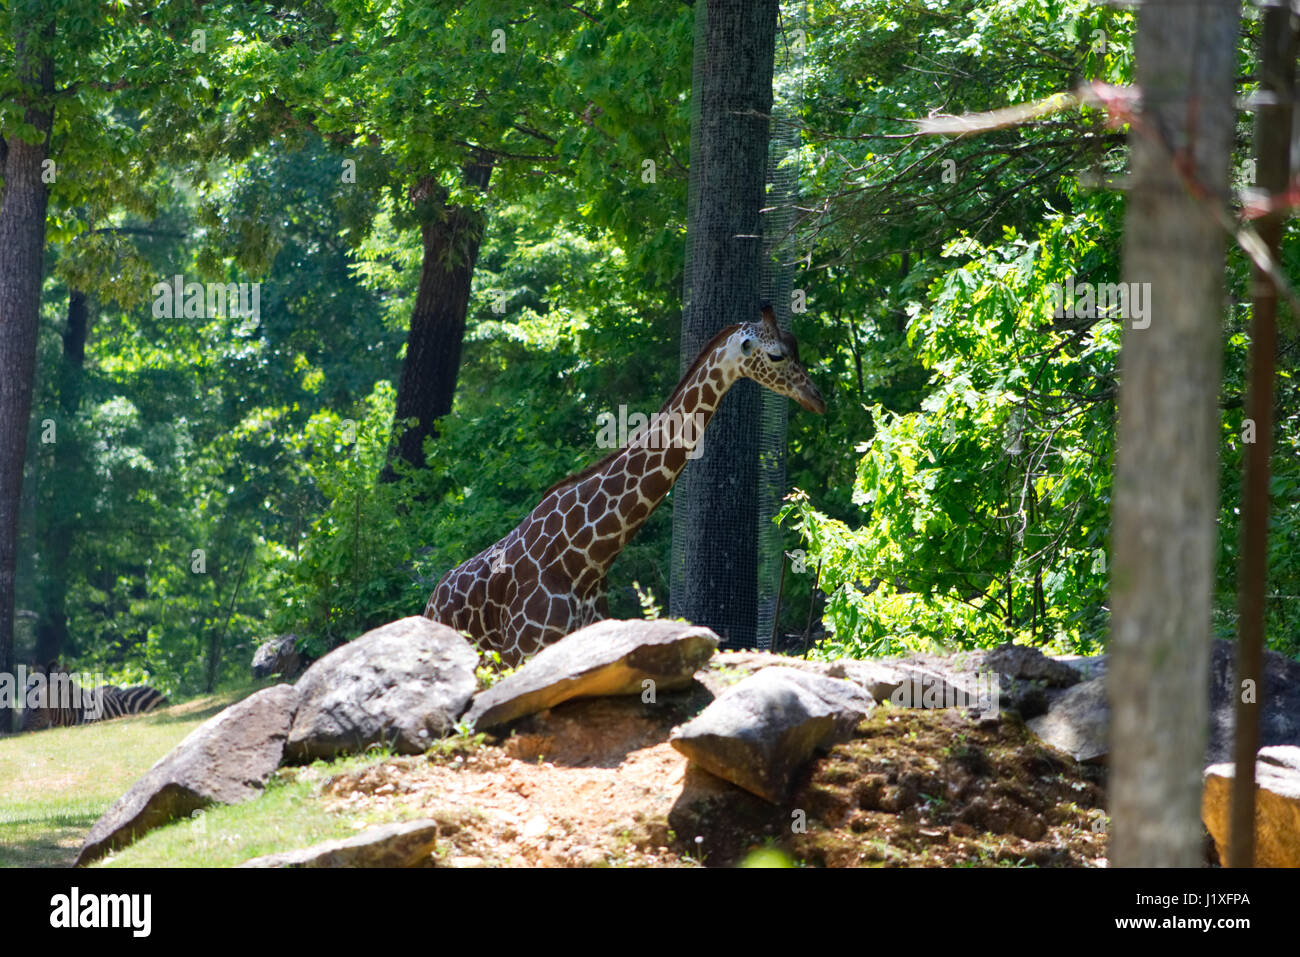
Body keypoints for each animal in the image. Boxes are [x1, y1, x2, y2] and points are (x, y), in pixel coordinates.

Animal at [431, 302, 826, 660]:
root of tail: (433, 600)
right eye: (776, 355)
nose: (817, 398)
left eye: (796, 347)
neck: (585, 559)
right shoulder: (525, 651)